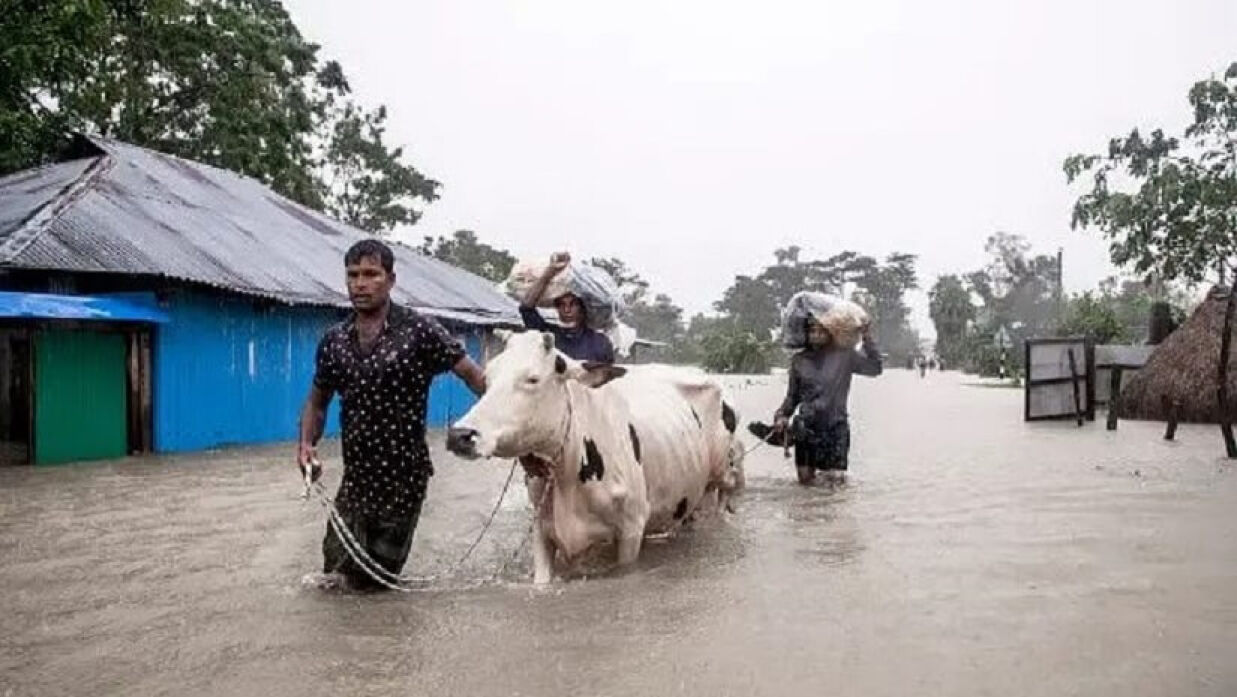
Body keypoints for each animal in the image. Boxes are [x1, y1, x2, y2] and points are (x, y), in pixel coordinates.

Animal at [452, 331, 747, 584]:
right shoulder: (541, 528)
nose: (460, 434)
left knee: (724, 497)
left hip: (722, 475)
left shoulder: (631, 529)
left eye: (532, 379)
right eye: (487, 378)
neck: (569, 471)